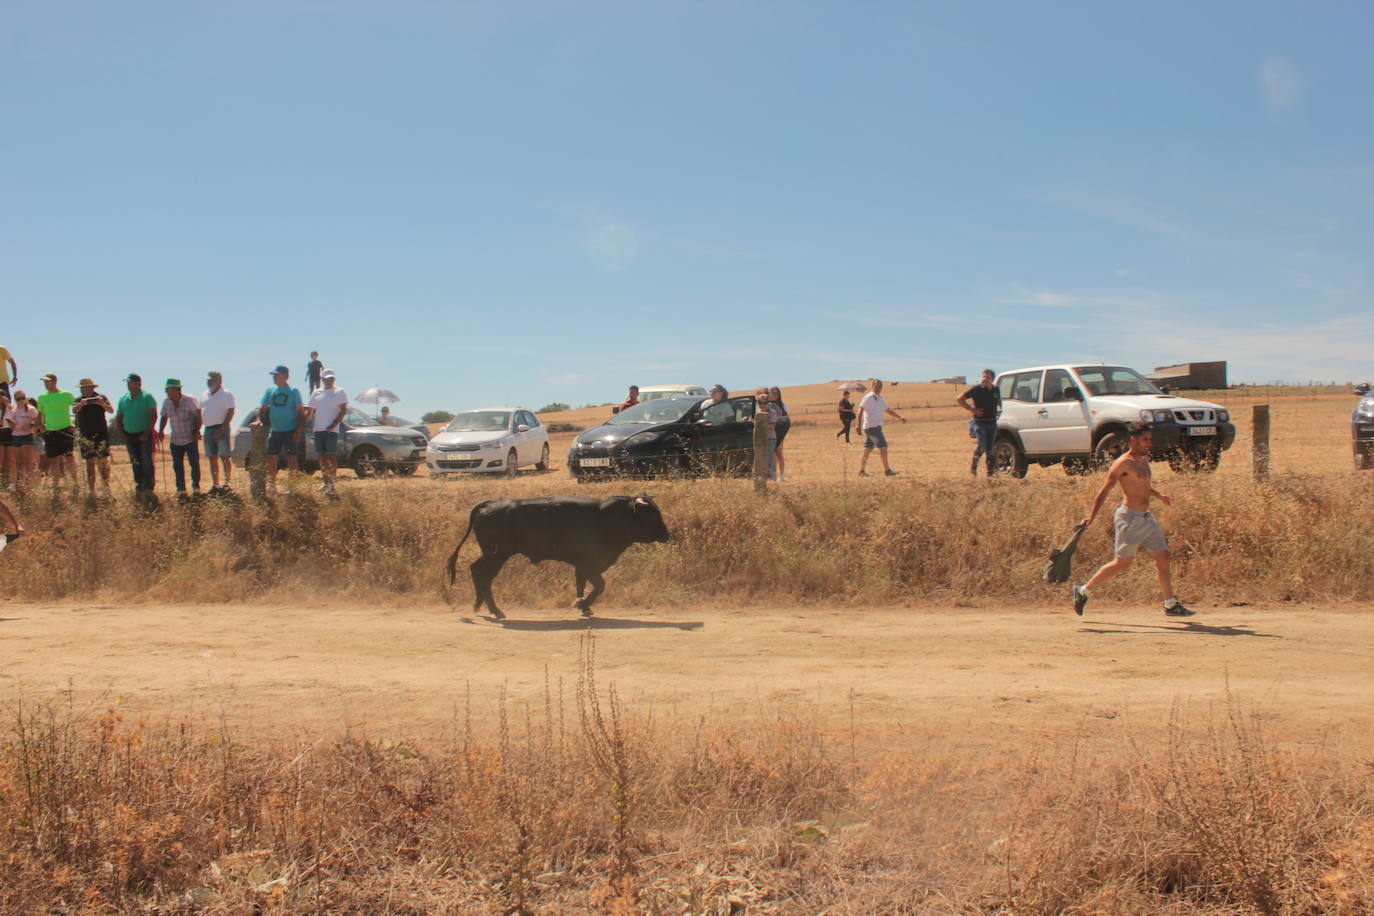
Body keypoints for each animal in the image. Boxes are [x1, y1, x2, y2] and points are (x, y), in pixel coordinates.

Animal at [445, 497, 670, 620]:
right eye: (652, 515)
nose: (666, 535)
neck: (608, 518)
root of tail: (489, 504)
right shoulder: (589, 564)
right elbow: (599, 585)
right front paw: (582, 604)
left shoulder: (582, 565)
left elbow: (582, 584)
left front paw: (583, 605)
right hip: (497, 555)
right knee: (485, 577)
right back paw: (496, 610)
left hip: (490, 554)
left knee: (476, 570)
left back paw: (478, 605)